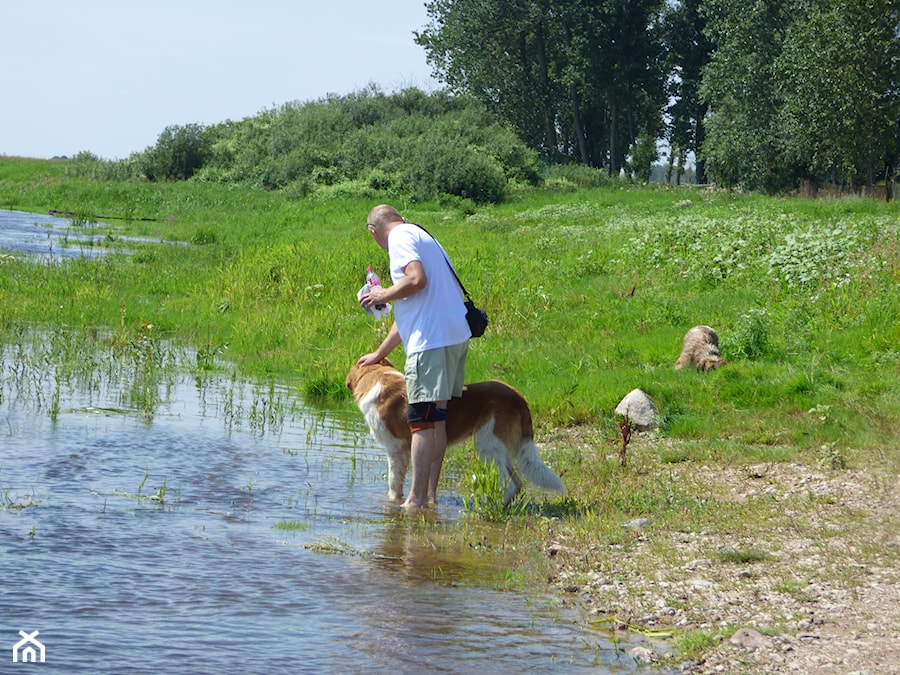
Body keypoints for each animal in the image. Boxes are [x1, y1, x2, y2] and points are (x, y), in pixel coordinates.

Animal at [348, 362, 568, 504]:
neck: (377, 378)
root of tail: (518, 397)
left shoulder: (395, 448)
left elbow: (393, 481)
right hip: (498, 448)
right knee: (516, 482)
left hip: (488, 444)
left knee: (508, 482)